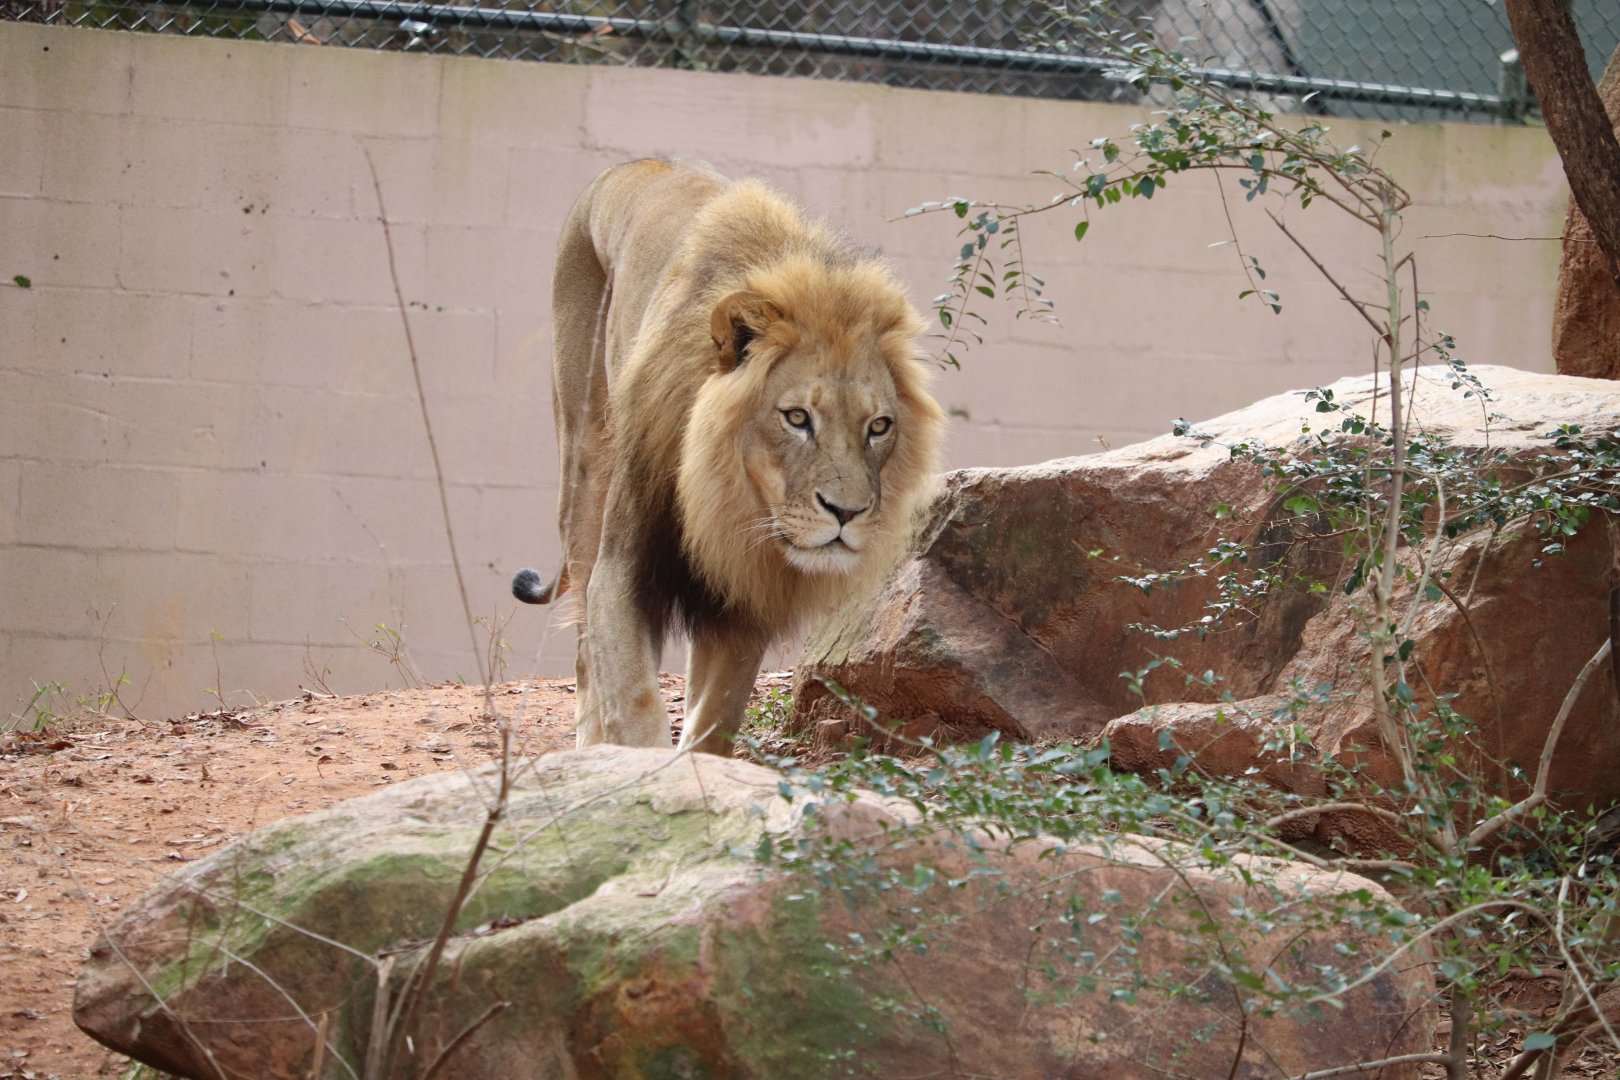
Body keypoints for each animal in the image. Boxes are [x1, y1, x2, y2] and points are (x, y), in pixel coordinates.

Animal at [511, 158, 945, 754]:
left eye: (878, 427)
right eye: (797, 418)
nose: (848, 513)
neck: (722, 499)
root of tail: (628, 166)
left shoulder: (747, 595)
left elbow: (715, 716)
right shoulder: (622, 569)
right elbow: (634, 700)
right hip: (583, 466)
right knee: (582, 651)